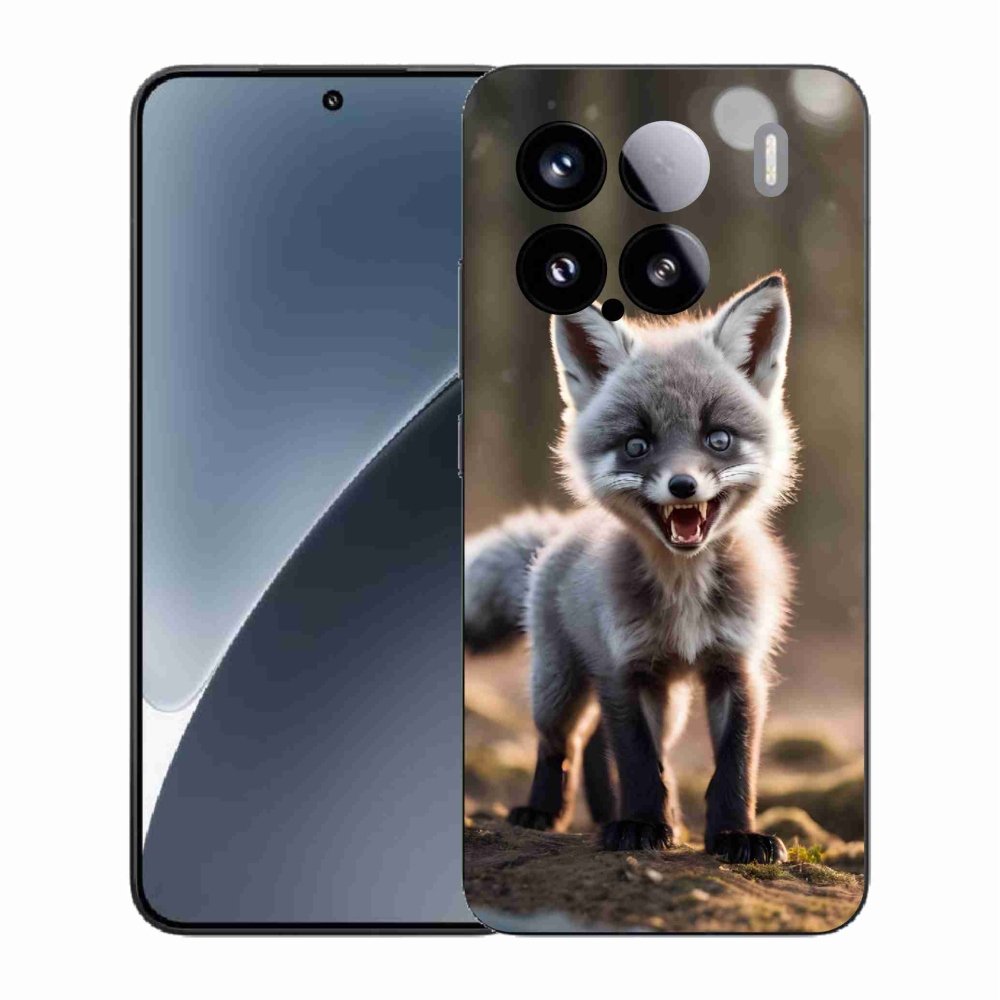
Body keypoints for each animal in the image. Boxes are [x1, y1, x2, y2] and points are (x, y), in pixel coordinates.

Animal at [465, 274, 798, 863]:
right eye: (637, 445)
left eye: (718, 438)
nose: (683, 486)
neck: (684, 594)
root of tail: (560, 533)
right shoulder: (624, 667)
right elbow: (641, 763)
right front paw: (642, 825)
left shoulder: (737, 668)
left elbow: (734, 767)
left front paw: (735, 836)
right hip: (559, 684)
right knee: (562, 743)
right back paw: (543, 812)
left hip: (668, 702)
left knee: (598, 743)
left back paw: (610, 814)